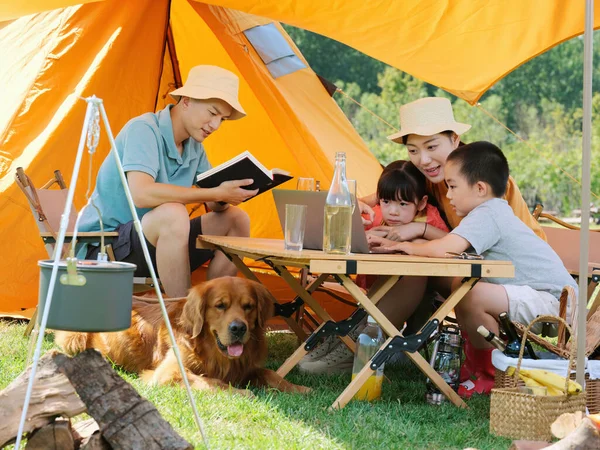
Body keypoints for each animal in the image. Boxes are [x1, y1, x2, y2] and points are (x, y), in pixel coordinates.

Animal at [55, 276, 310, 396]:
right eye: (220, 306)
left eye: (248, 306)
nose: (239, 328)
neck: (213, 353)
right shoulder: (169, 371)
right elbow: (212, 381)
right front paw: (241, 392)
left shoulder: (247, 367)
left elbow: (270, 374)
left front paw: (299, 388)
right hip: (73, 338)